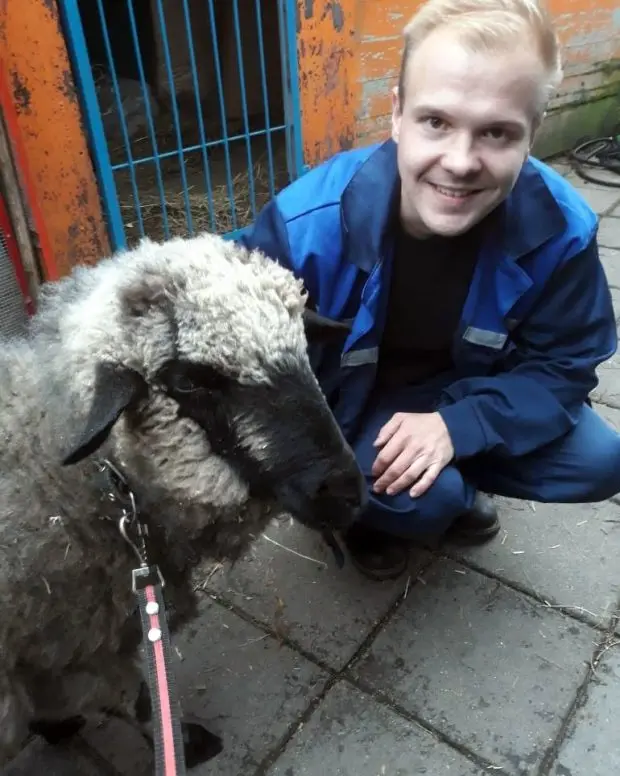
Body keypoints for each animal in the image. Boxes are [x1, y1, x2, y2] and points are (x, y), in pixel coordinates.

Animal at [0, 232, 368, 768]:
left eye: (303, 344)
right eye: (188, 381)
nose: (346, 491)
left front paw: (55, 725)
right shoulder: (75, 644)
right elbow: (134, 695)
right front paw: (186, 745)